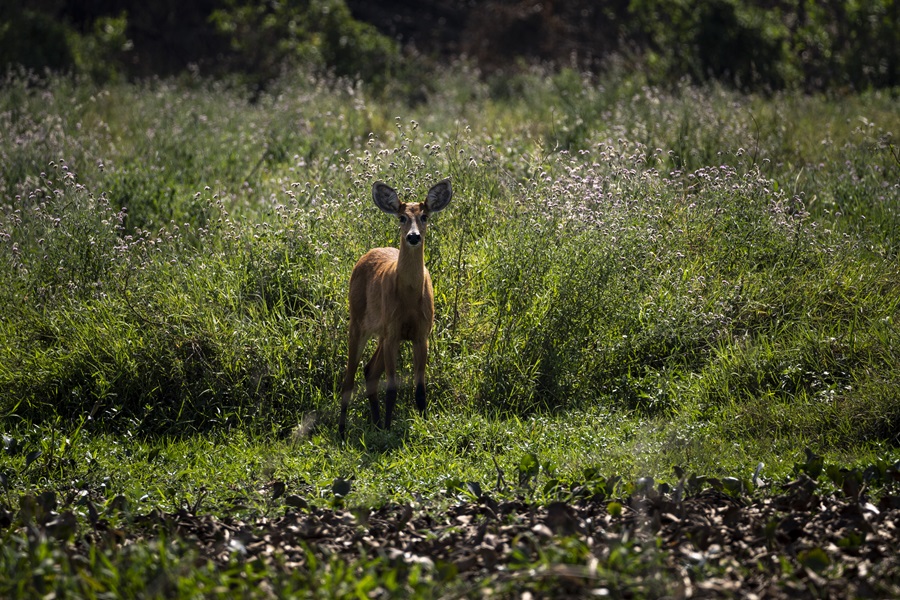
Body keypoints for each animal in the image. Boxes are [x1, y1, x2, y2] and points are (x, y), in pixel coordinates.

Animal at [338, 176, 450, 438]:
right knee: (349, 378)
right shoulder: (393, 333)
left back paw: (376, 423)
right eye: (402, 217)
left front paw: (425, 425)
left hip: (381, 332)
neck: (409, 298)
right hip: (358, 322)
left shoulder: (420, 334)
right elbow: (391, 389)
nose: (413, 236)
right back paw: (342, 430)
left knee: (369, 370)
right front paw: (389, 432)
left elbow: (420, 388)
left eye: (424, 216)